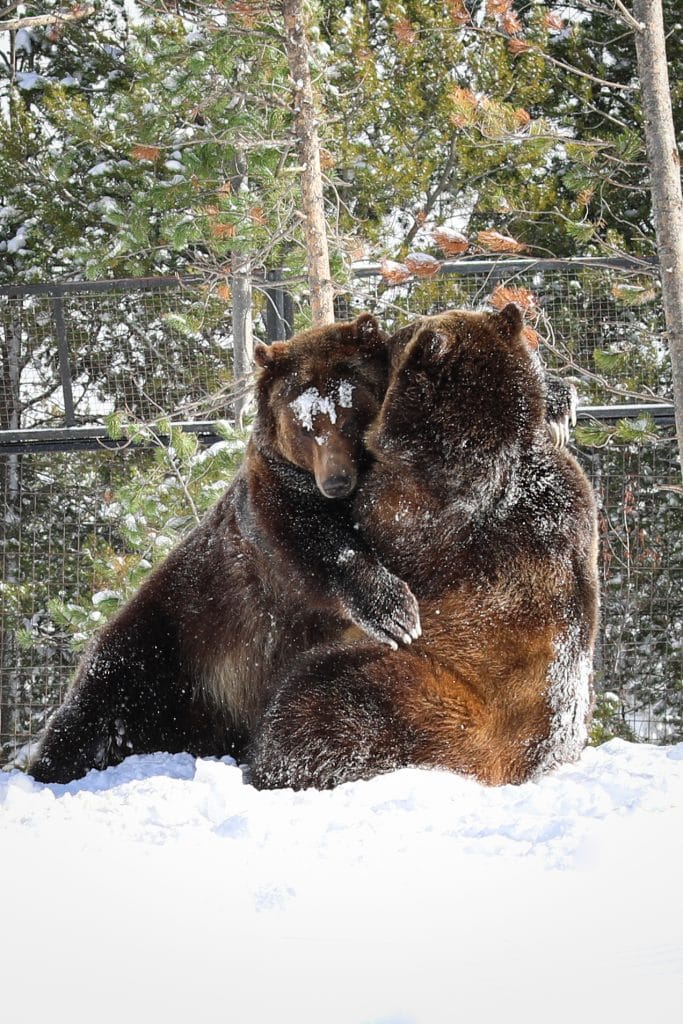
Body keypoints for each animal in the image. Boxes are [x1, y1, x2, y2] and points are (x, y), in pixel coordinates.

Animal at [28, 314, 421, 784]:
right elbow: (313, 543)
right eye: (305, 426)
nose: (335, 481)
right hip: (169, 637)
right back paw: (54, 765)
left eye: (348, 414)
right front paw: (396, 614)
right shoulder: (272, 503)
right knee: (101, 694)